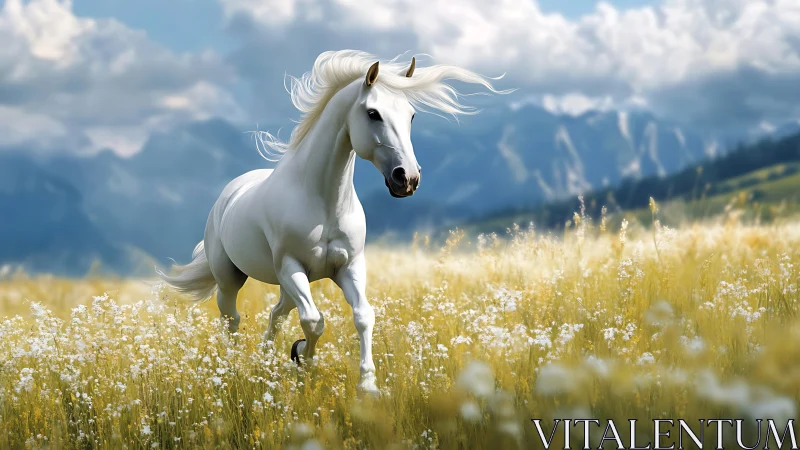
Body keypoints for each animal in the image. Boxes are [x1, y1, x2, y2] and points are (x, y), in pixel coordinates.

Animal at [158, 50, 507, 394]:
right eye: (373, 113)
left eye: (411, 115)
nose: (406, 179)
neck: (323, 202)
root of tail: (227, 196)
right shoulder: (291, 266)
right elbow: (314, 321)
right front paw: (303, 358)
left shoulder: (349, 266)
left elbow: (362, 316)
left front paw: (366, 385)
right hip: (232, 277)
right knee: (231, 319)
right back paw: (232, 370)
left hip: (283, 284)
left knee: (276, 314)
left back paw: (265, 361)